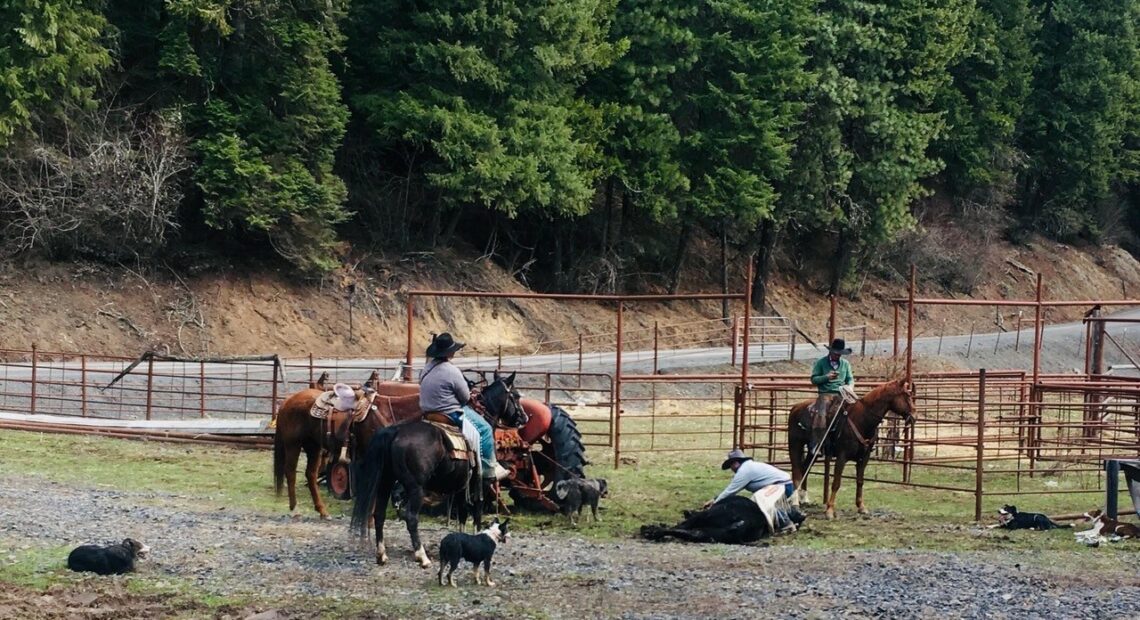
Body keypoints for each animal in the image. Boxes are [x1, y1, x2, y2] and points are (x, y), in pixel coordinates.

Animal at [272, 373, 424, 517]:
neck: (389, 413)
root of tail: (287, 401)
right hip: (293, 444)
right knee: (290, 472)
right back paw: (295, 508)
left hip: (313, 447)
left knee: (310, 475)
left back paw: (322, 511)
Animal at [348, 371, 526, 569]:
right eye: (515, 395)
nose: (524, 419)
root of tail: (395, 432)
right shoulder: (479, 483)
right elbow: (477, 513)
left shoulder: (461, 486)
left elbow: (462, 514)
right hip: (415, 488)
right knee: (411, 518)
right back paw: (422, 557)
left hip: (385, 482)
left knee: (379, 514)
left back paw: (382, 555)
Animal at [788, 378, 912, 517]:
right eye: (907, 395)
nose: (915, 416)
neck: (862, 420)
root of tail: (796, 407)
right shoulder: (842, 456)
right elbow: (836, 483)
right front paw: (830, 510)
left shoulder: (864, 457)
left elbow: (860, 481)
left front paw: (861, 506)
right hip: (795, 445)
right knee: (796, 472)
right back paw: (795, 503)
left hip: (813, 451)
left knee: (804, 468)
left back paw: (804, 498)